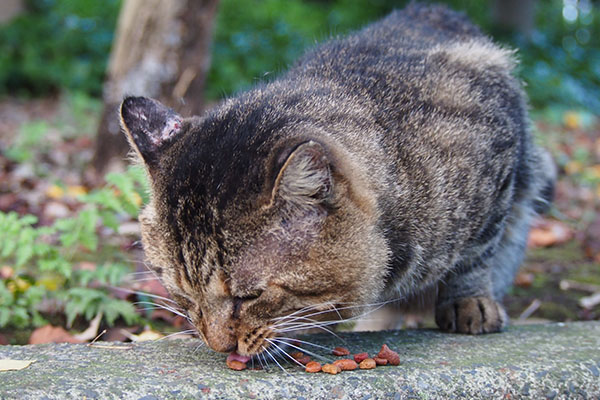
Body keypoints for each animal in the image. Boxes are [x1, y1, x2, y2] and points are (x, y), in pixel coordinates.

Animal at [119, 3, 556, 356]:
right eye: (182, 294)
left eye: (250, 296)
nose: (217, 346)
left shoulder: (499, 159)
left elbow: (476, 254)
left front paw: (469, 302)